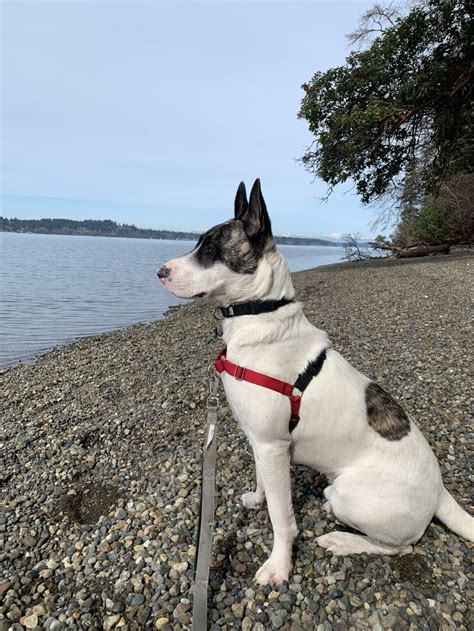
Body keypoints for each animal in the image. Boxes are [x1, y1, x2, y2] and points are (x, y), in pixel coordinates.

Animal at [158, 179, 474, 588]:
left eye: (211, 249)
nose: (160, 272)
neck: (261, 313)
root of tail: (439, 491)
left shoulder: (272, 445)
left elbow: (282, 518)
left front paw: (279, 564)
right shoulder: (263, 444)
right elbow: (264, 484)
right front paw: (257, 501)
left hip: (348, 493)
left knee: (400, 546)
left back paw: (343, 541)